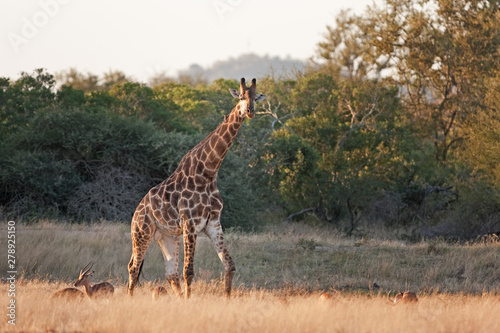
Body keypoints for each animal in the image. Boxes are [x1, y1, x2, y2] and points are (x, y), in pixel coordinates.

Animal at [129, 78, 268, 298]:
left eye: (255, 97)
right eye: (240, 97)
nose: (250, 111)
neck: (209, 172)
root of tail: (136, 211)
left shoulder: (213, 224)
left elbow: (230, 266)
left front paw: (227, 300)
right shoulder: (190, 224)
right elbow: (189, 272)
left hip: (167, 236)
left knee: (170, 273)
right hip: (141, 232)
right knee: (134, 267)